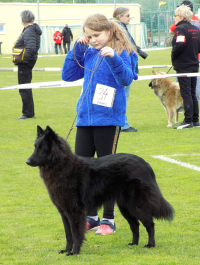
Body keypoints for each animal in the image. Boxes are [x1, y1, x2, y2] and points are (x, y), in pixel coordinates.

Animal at [26, 125, 173, 254]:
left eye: (41, 148)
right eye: (35, 147)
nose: (27, 161)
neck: (61, 165)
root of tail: (145, 164)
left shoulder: (75, 211)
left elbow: (75, 233)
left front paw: (74, 252)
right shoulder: (64, 212)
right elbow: (68, 235)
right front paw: (67, 250)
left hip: (136, 205)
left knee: (150, 224)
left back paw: (150, 244)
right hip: (125, 207)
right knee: (135, 225)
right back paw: (134, 243)